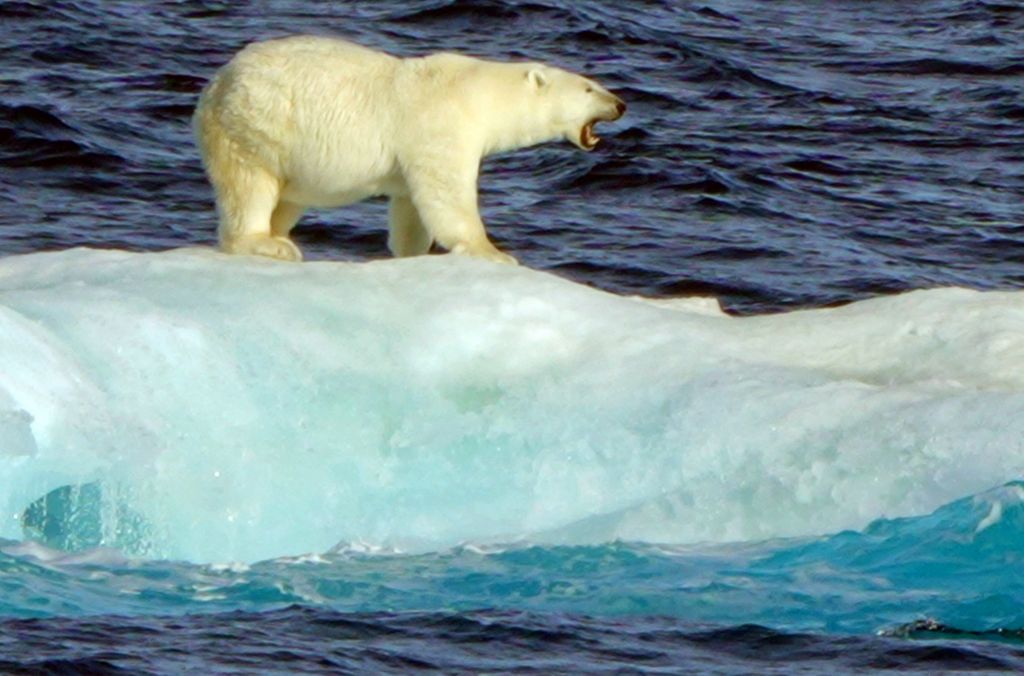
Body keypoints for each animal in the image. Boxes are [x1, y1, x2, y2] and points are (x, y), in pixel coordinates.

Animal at [192, 36, 622, 264]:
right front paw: (494, 252)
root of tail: (213, 86)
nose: (620, 104)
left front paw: (411, 256)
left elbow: (410, 209)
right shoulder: (442, 123)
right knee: (250, 186)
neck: (481, 94)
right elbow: (447, 195)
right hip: (255, 123)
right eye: (588, 88)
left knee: (287, 198)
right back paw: (267, 244)